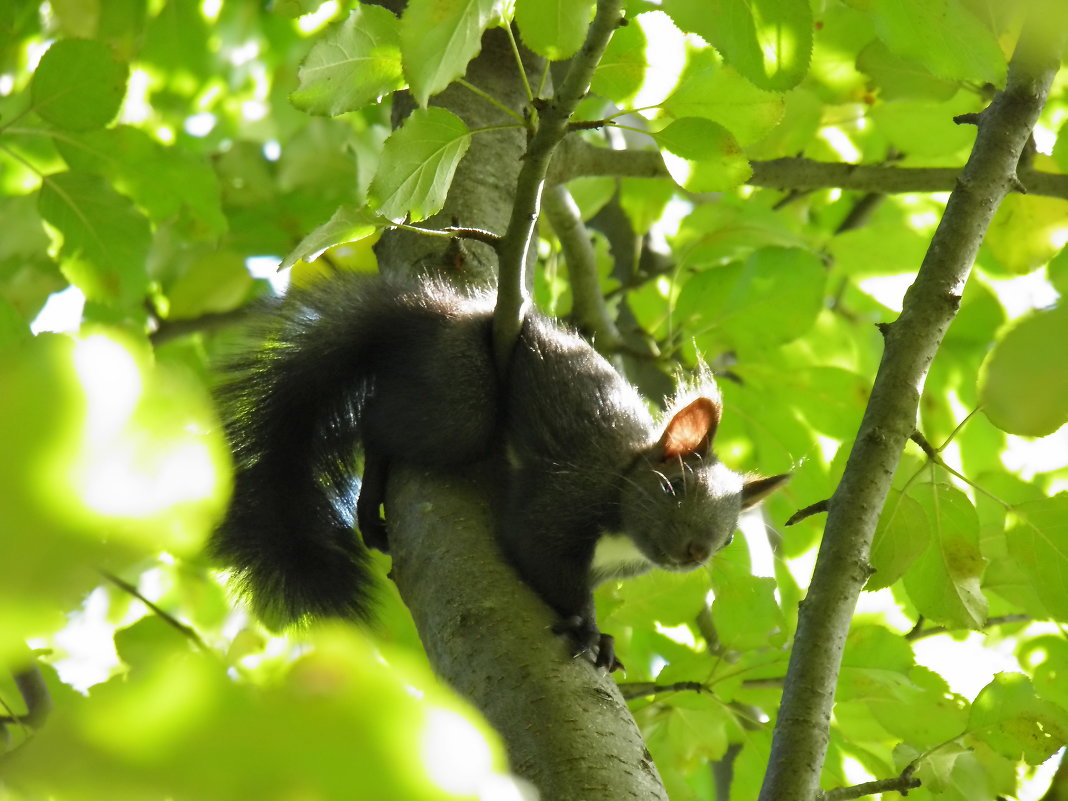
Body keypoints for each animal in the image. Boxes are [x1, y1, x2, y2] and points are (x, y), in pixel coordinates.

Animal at [212, 275, 790, 670]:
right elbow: (536, 550)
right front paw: (589, 631)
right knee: (378, 425)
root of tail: (443, 311)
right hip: (460, 395)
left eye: (729, 538)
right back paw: (370, 498)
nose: (696, 553)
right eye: (677, 489)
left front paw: (601, 637)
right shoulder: (565, 497)